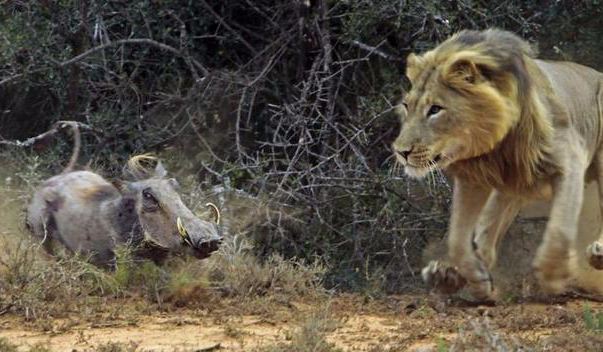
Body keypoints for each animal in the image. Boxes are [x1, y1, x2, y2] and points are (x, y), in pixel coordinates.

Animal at [392, 28, 603, 302]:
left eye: (435, 109)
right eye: (406, 106)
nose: (401, 152)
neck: (495, 146)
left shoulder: (570, 159)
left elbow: (560, 227)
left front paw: (553, 274)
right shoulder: (473, 179)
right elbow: (458, 240)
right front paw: (477, 280)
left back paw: (597, 254)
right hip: (514, 187)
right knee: (486, 235)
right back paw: (447, 275)